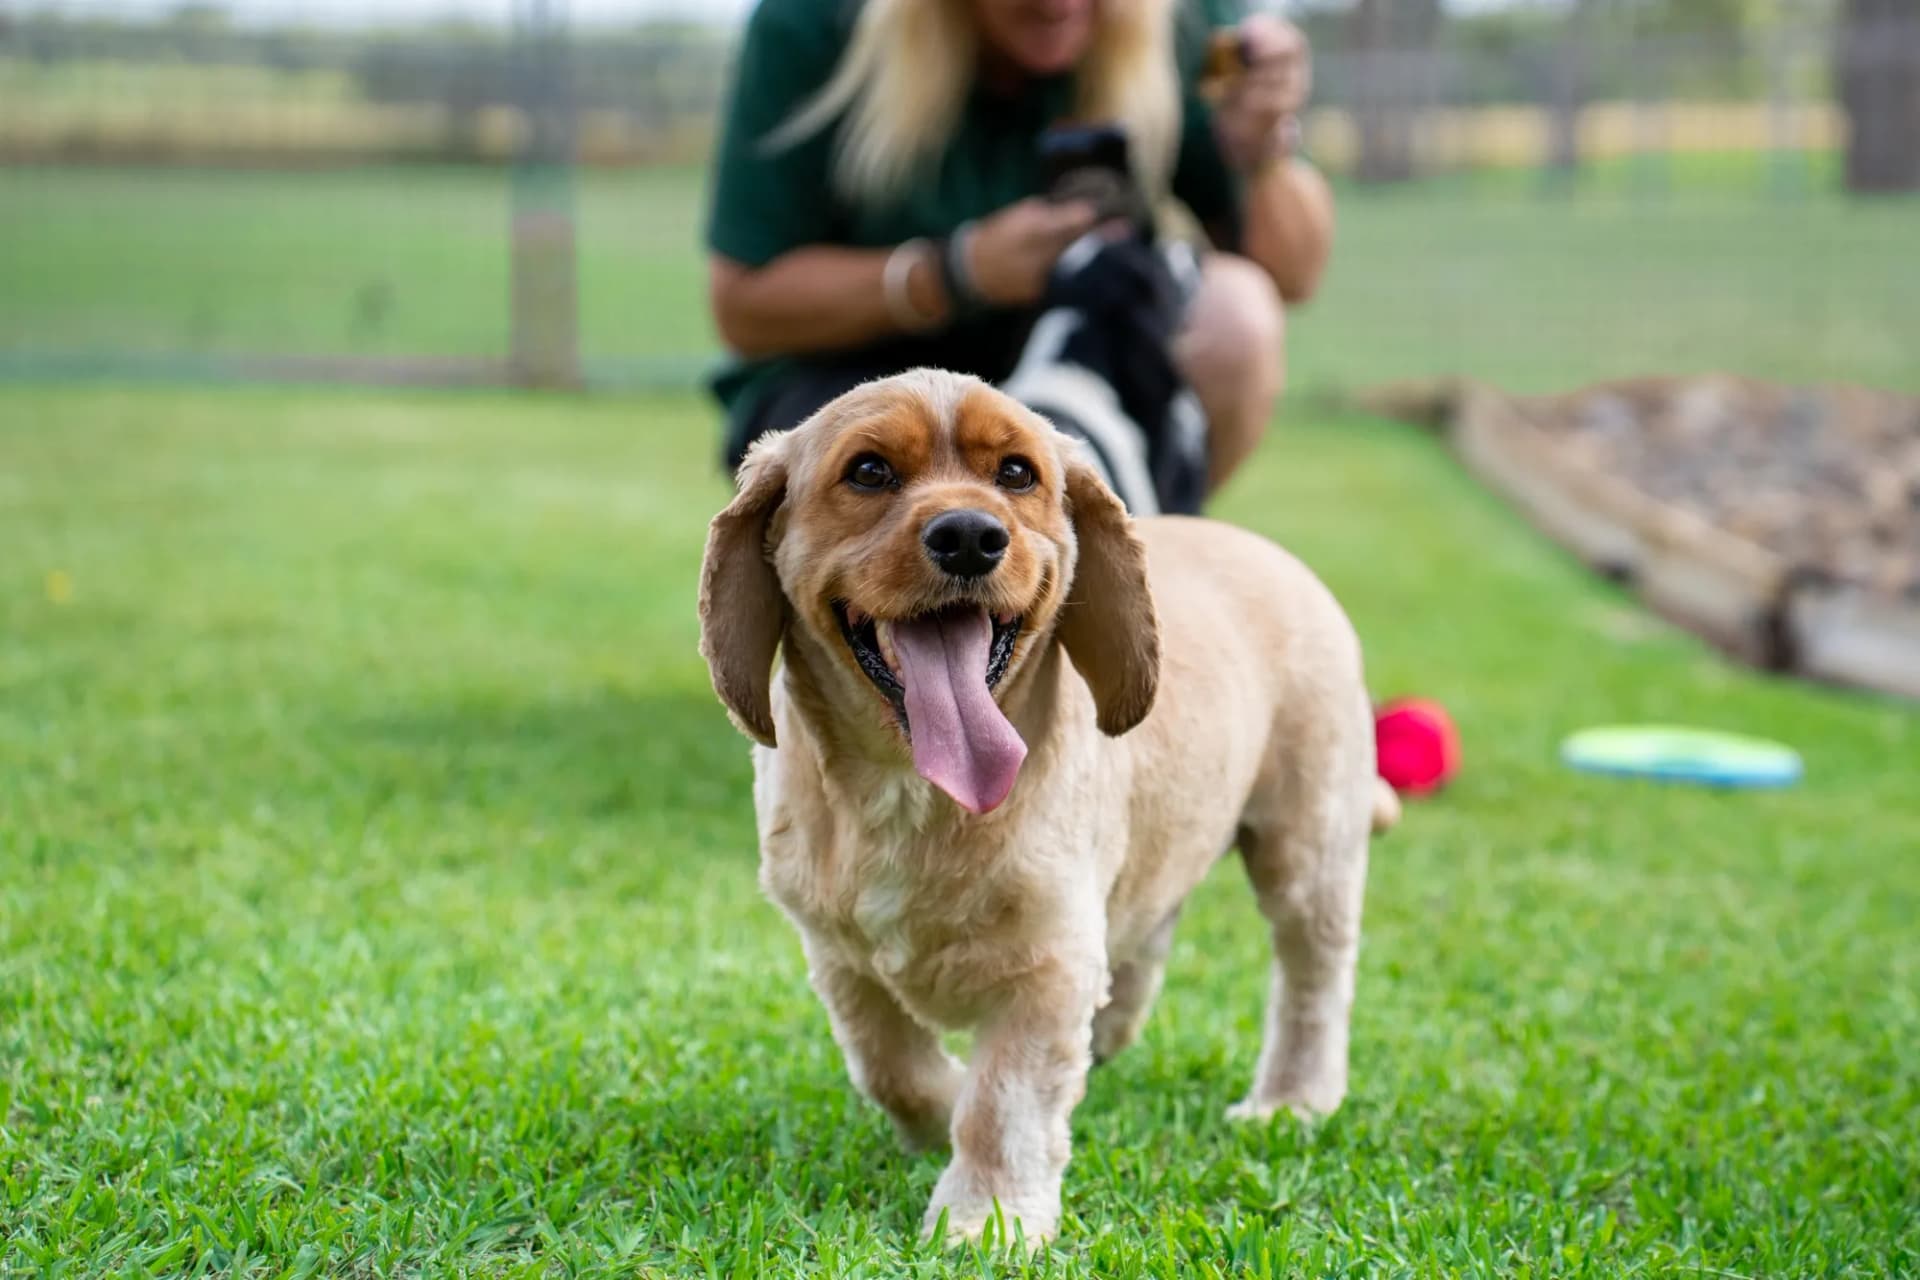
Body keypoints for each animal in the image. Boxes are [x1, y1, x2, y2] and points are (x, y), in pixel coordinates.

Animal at [698, 368, 1395, 1245]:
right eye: (869, 472)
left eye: (1017, 474)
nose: (970, 537)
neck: (913, 793)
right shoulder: (839, 953)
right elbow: (890, 1065)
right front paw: (941, 1112)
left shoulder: (1050, 963)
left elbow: (1003, 1103)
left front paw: (986, 1219)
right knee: (1147, 937)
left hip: (1308, 846)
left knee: (1313, 979)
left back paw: (1291, 1102)